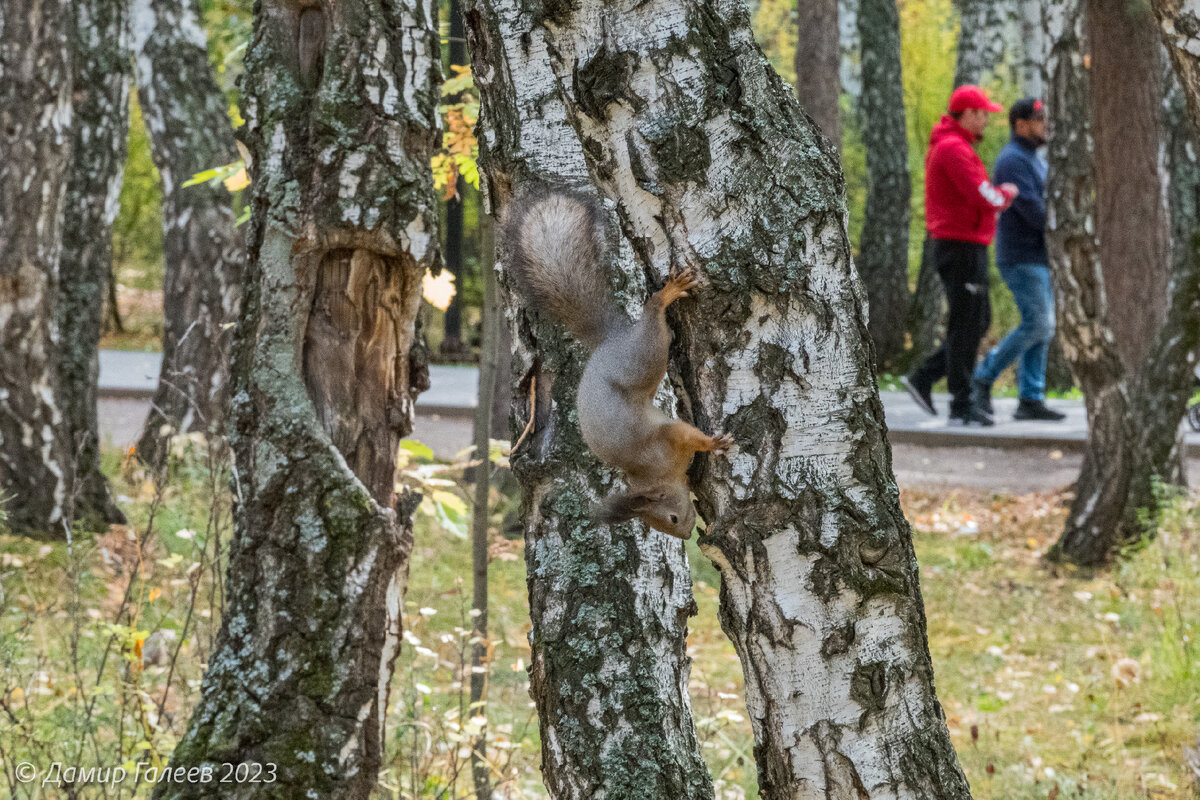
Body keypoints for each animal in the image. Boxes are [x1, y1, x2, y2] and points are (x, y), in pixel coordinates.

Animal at [496, 187, 729, 537]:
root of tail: (609, 342)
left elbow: (688, 434)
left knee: (653, 311)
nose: (687, 534)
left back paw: (667, 294)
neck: (654, 474)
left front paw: (712, 442)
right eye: (667, 524)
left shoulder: (668, 438)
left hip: (644, 357)